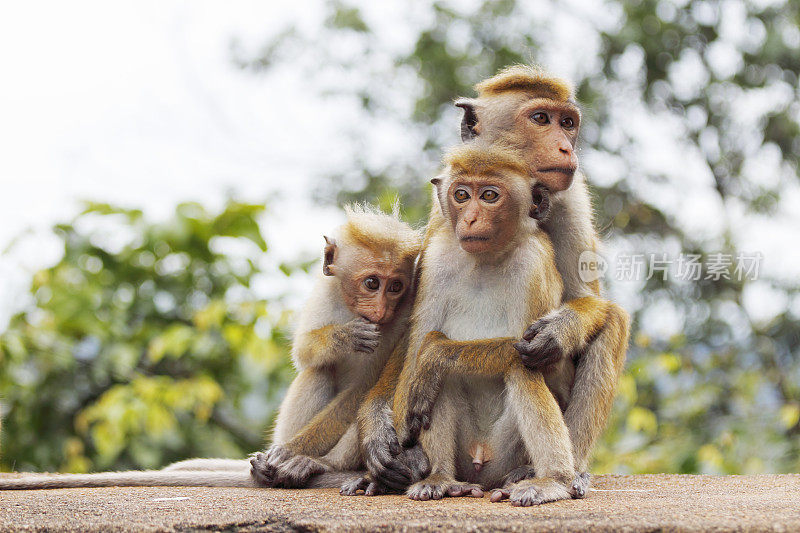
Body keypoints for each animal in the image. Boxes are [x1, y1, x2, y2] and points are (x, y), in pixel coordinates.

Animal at [0, 204, 422, 490]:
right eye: (372, 283)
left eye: (395, 287)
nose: (381, 309)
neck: (353, 307)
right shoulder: (325, 293)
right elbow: (305, 352)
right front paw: (343, 338)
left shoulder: (403, 316)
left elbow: (364, 388)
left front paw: (295, 455)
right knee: (317, 372)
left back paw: (315, 464)